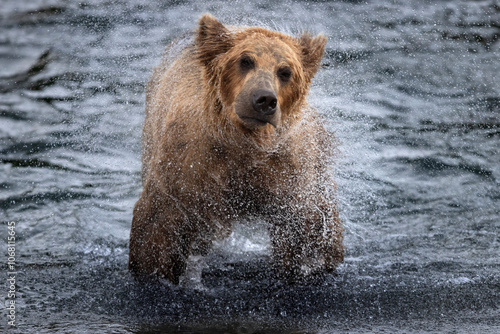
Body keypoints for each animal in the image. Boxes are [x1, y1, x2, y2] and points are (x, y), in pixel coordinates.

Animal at [129, 14, 344, 284]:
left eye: (285, 71)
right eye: (245, 60)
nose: (264, 99)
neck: (243, 143)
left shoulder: (287, 171)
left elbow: (305, 229)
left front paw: (309, 265)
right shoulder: (189, 165)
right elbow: (157, 229)